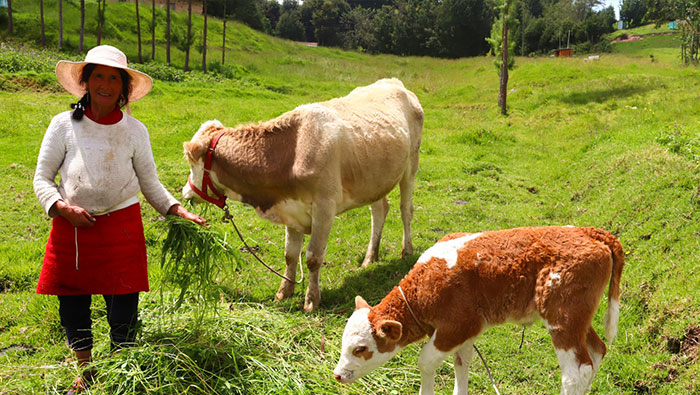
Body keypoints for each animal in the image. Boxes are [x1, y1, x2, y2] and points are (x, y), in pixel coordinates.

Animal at [182, 77, 422, 312]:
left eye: (191, 163)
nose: (185, 192)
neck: (292, 151)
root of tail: (394, 82)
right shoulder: (290, 208)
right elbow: (290, 255)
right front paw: (283, 292)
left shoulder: (325, 207)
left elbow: (313, 257)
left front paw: (311, 300)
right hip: (375, 179)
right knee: (379, 210)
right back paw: (370, 258)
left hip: (411, 165)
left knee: (406, 210)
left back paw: (406, 251)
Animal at [334, 227, 624, 394]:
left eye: (360, 349)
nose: (337, 375)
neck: (424, 287)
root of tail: (591, 232)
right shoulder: (466, 332)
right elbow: (462, 363)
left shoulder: (457, 326)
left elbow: (425, 361)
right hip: (578, 317)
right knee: (597, 351)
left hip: (563, 318)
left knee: (577, 371)